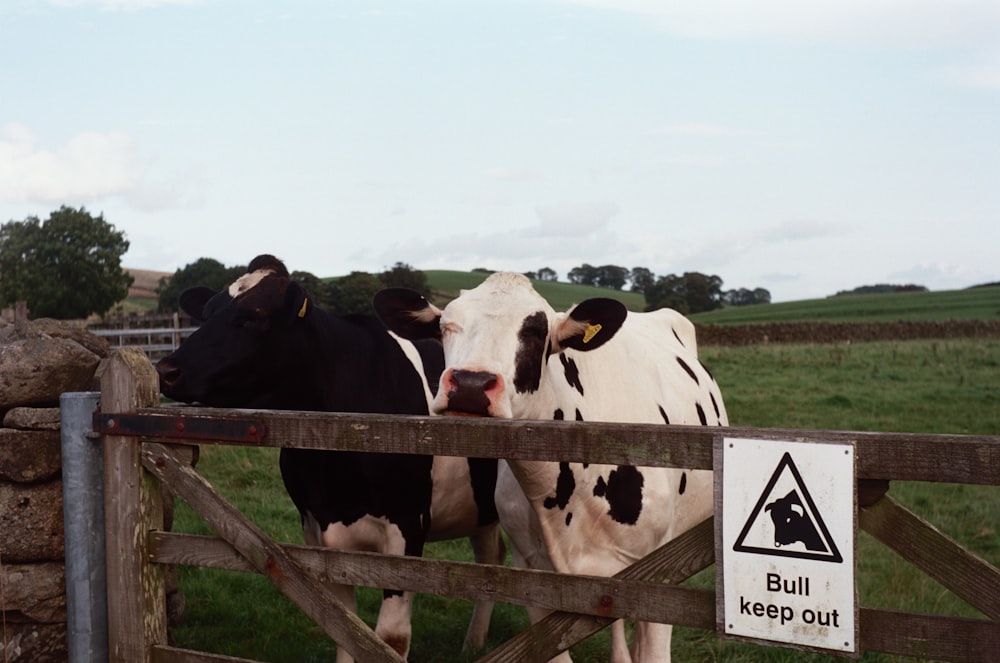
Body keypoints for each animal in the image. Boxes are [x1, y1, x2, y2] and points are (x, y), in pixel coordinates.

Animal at [157, 255, 504, 663]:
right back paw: (475, 642)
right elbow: (344, 629)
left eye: (254, 315)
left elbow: (390, 637)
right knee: (491, 562)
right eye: (207, 312)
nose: (167, 370)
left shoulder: (409, 524)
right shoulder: (316, 525)